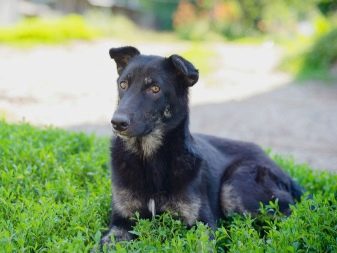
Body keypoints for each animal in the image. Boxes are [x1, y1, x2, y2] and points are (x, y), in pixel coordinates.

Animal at [100, 46, 302, 244]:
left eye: (155, 89)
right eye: (123, 85)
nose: (117, 122)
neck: (149, 158)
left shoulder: (202, 225)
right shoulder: (120, 224)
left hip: (235, 185)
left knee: (290, 217)